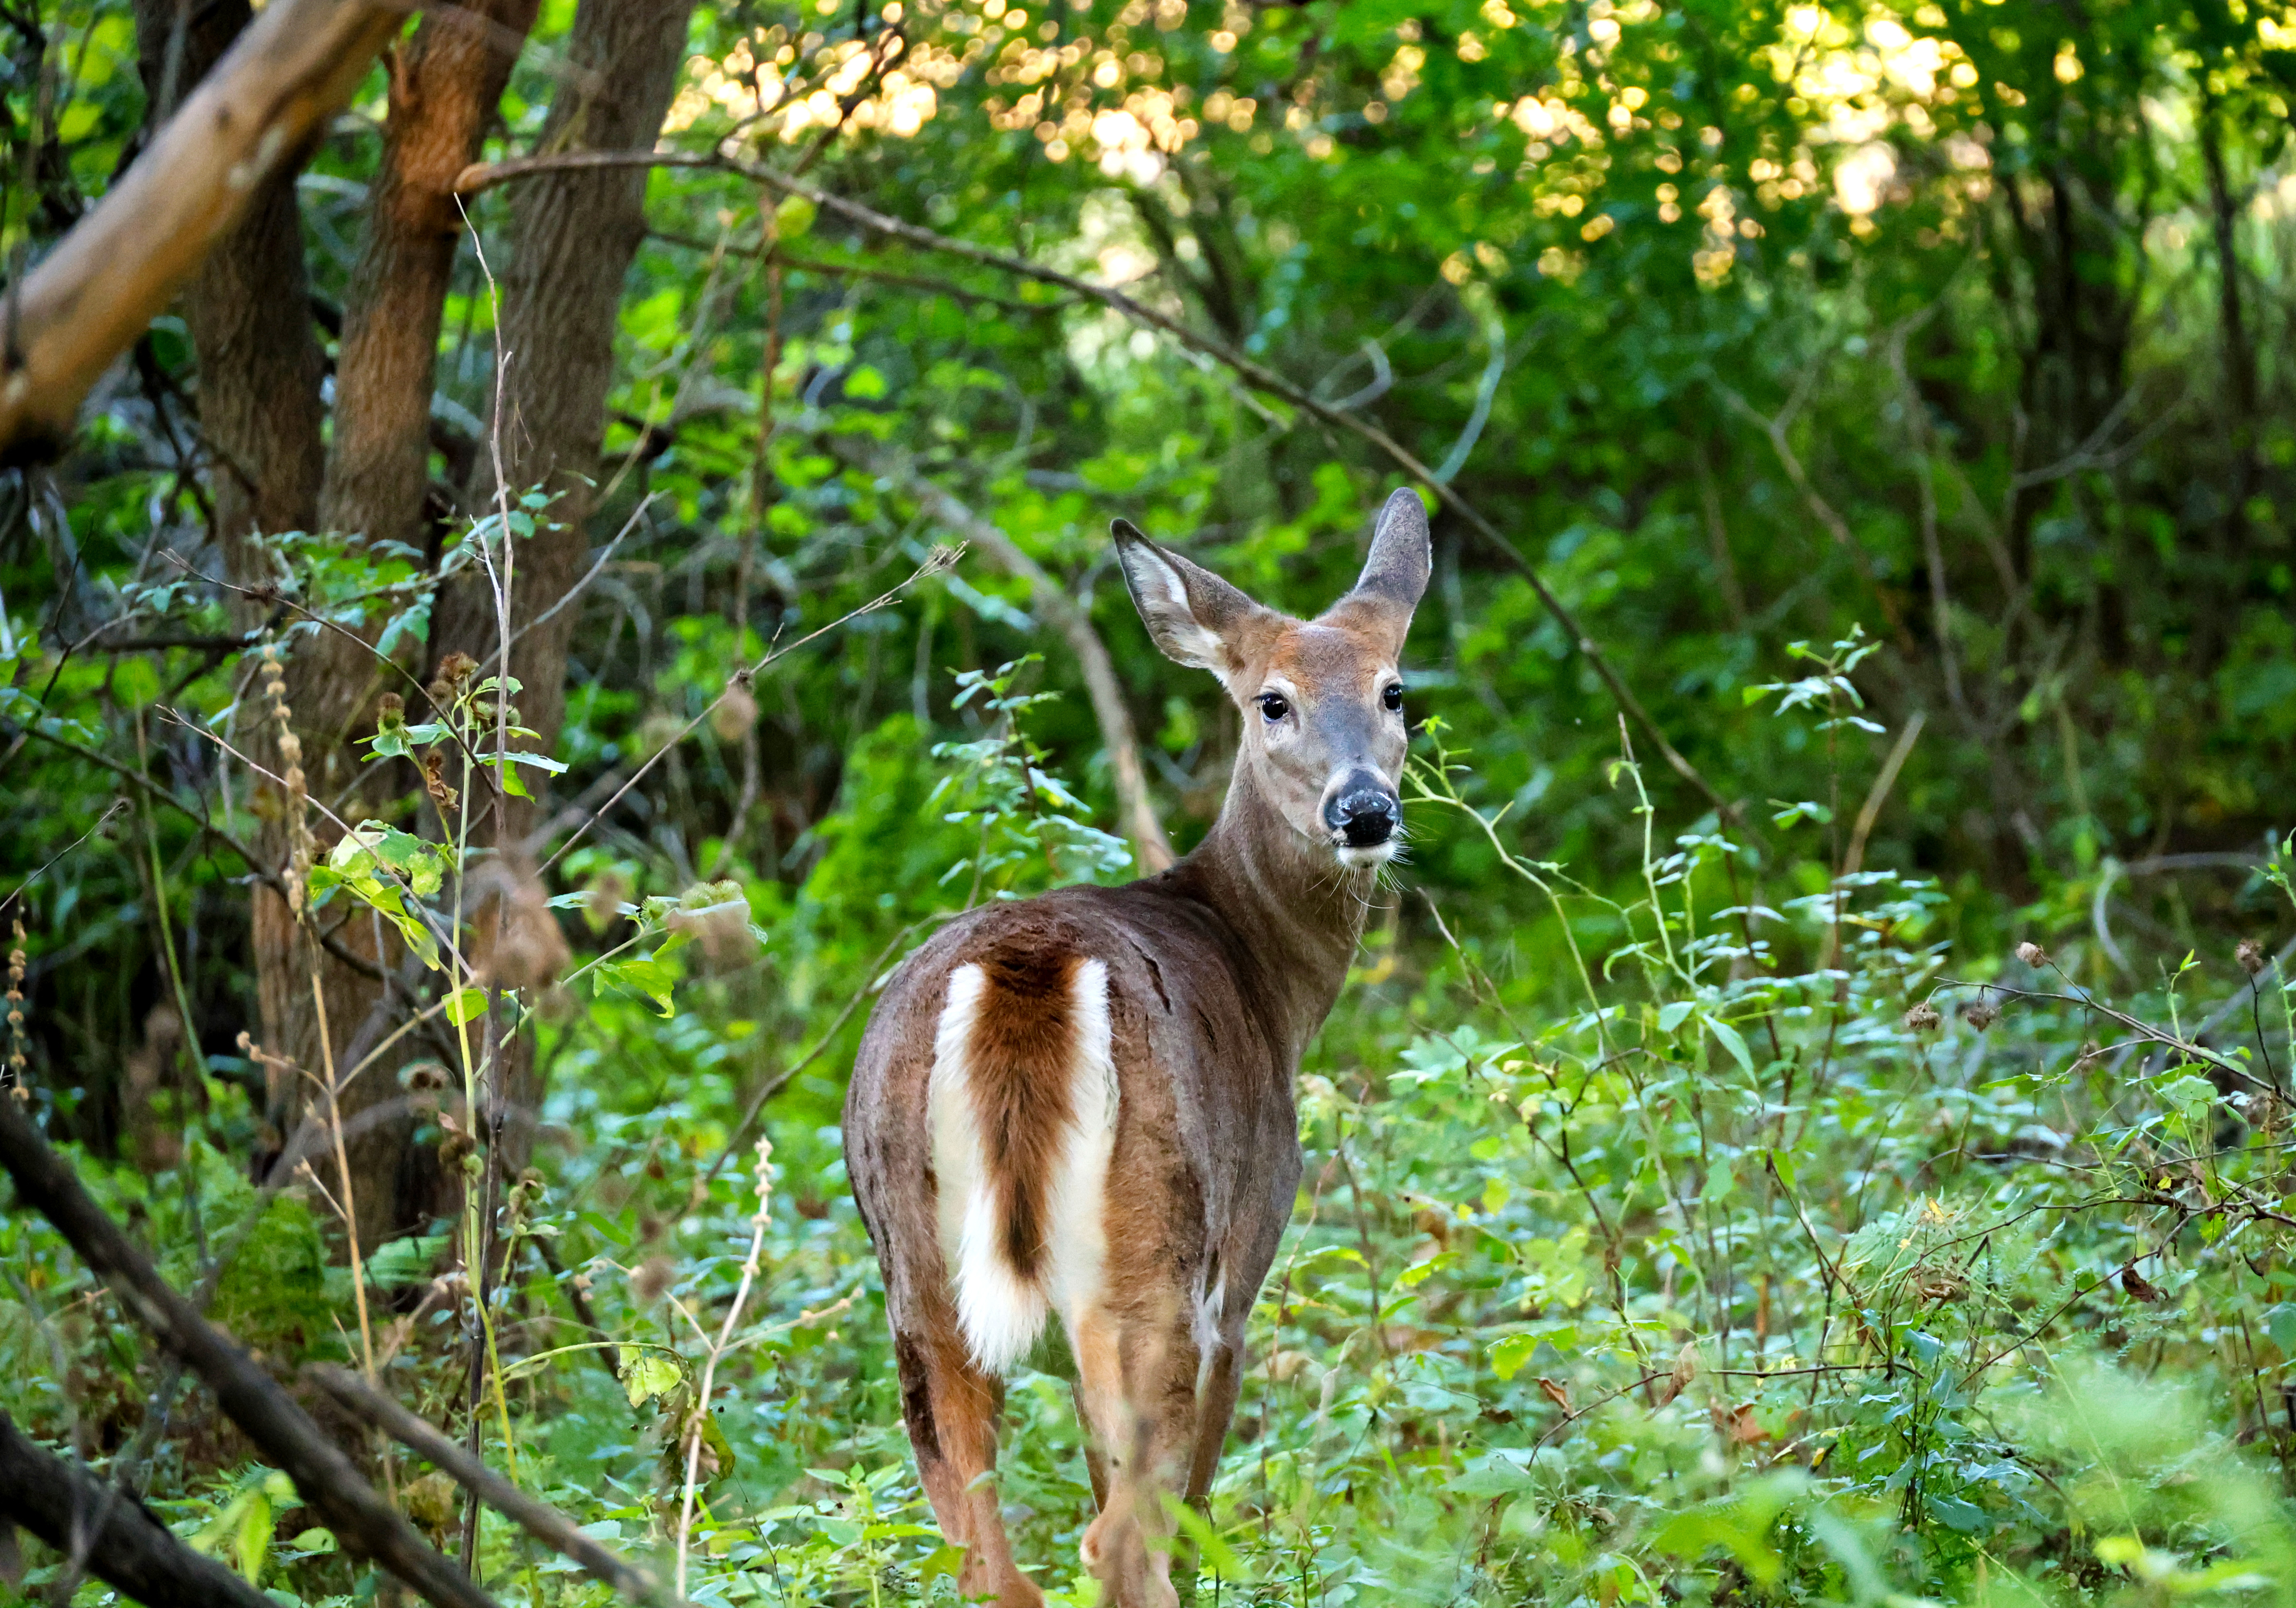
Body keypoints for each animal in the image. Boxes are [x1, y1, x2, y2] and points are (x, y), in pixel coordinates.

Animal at [843, 488, 1430, 1608]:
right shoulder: (1243, 1265)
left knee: (985, 1545)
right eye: (1272, 701)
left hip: (918, 1276)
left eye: (1394, 690)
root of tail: (1024, 972)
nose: (1364, 810)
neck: (1269, 979)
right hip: (1159, 1247)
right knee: (1124, 1541)